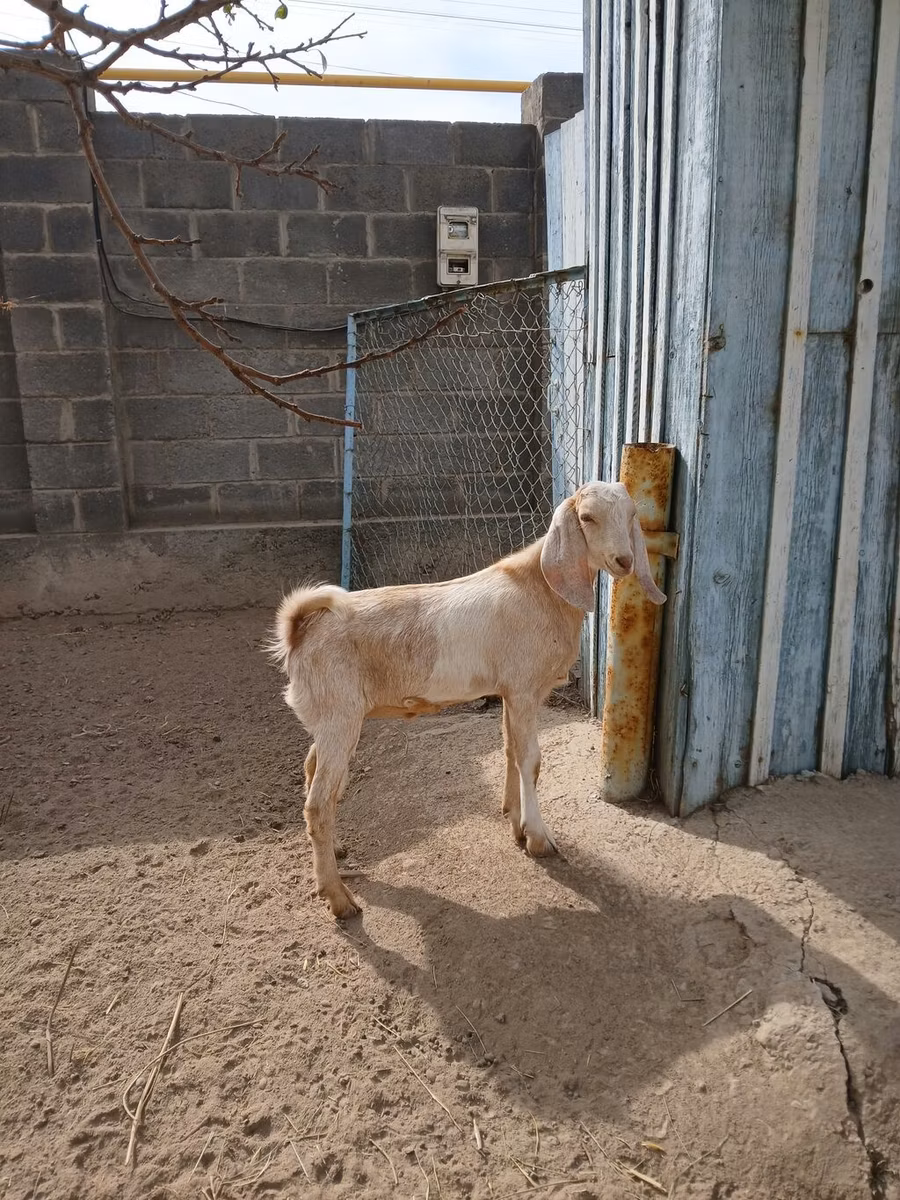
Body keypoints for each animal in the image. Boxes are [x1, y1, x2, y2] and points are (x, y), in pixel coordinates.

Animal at [269, 481, 666, 919]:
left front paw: (514, 821)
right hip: (340, 715)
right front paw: (538, 839)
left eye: (631, 515)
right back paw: (340, 900)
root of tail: (297, 629)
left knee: (312, 772)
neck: (540, 588)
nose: (624, 561)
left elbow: (511, 750)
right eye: (587, 517)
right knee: (318, 803)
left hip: (328, 719)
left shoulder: (510, 689)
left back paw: (337, 853)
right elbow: (531, 760)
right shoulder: (525, 688)